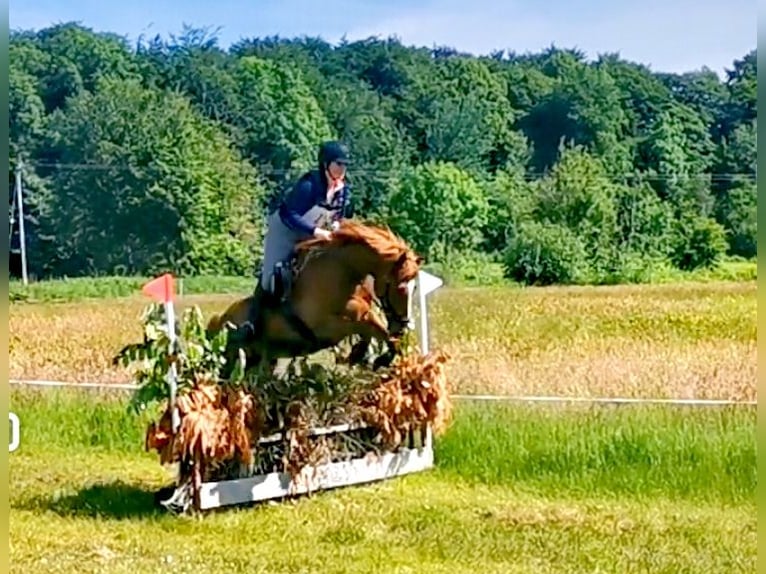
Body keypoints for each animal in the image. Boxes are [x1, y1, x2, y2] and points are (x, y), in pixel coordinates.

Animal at [207, 220, 424, 378]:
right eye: (401, 288)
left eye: (415, 288)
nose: (402, 326)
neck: (344, 271)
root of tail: (220, 319)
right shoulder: (332, 326)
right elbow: (375, 327)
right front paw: (376, 358)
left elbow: (378, 331)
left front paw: (363, 355)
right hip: (233, 356)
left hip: (258, 359)